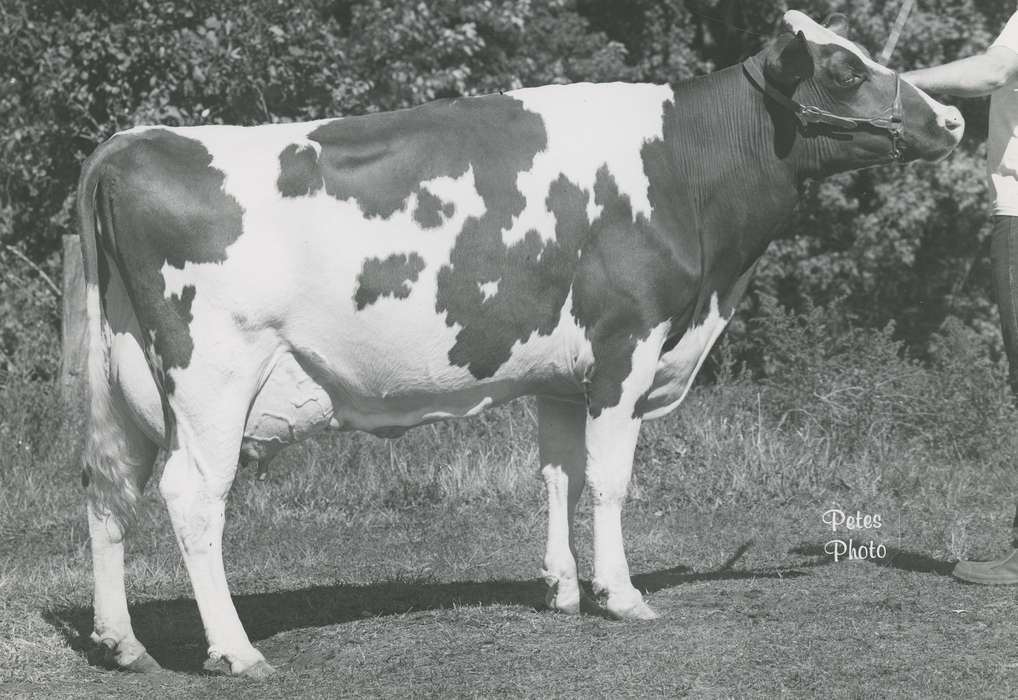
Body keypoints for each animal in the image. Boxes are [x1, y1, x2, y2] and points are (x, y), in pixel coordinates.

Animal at [76, 11, 963, 678]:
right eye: (844, 69)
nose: (952, 119)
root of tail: (132, 141)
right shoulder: (626, 344)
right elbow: (608, 480)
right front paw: (620, 594)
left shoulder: (562, 375)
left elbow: (557, 475)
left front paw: (563, 590)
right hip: (214, 377)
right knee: (193, 495)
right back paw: (235, 650)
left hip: (123, 383)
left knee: (106, 488)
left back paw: (122, 643)